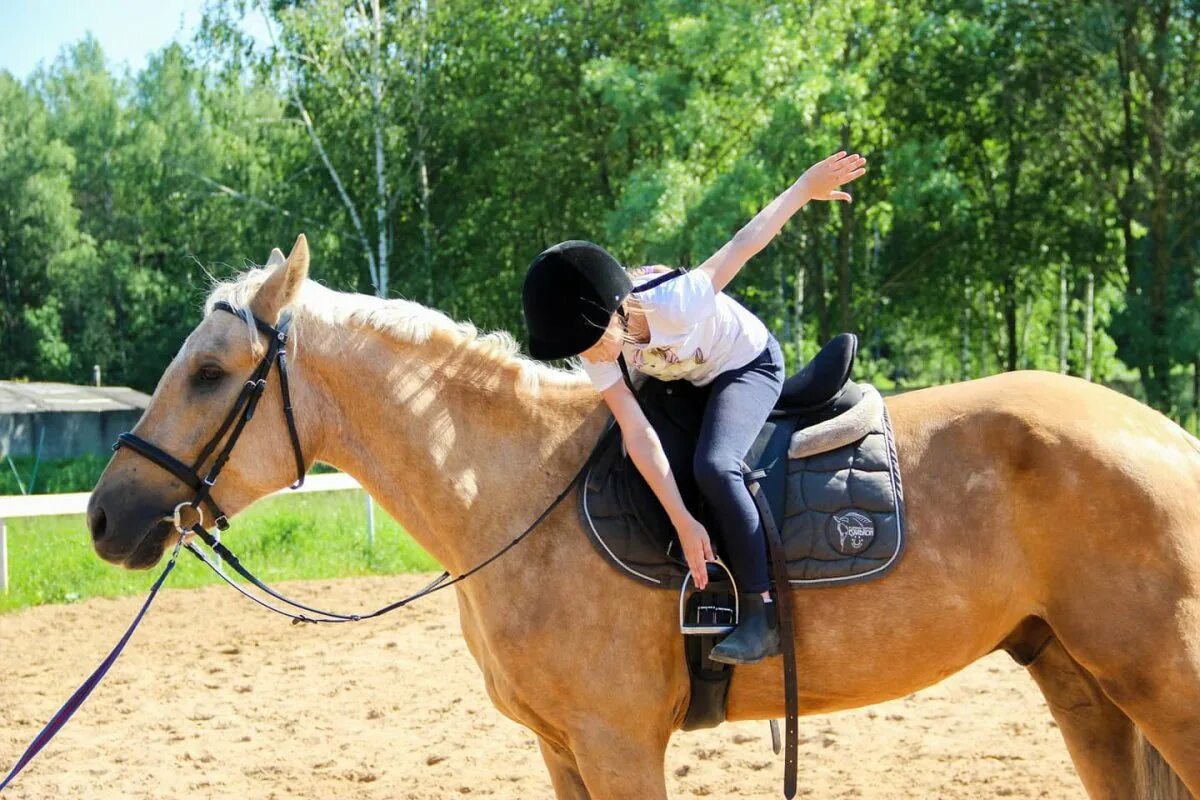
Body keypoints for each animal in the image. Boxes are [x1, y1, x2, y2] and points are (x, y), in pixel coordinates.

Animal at [87, 235, 1200, 796]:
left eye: (210, 372)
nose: (104, 516)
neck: (513, 489)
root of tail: (1168, 439)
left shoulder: (617, 743)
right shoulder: (562, 750)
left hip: (1164, 688)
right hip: (1083, 685)